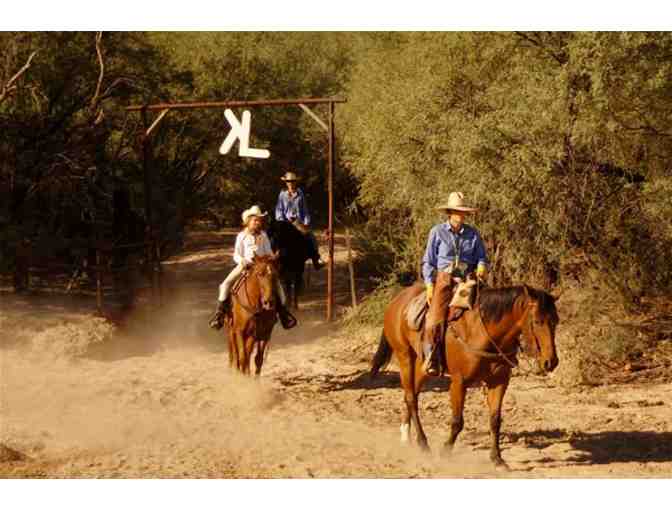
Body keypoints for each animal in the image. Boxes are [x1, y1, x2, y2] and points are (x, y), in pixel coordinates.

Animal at [370, 282, 560, 470]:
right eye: (537, 321)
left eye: (556, 321)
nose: (551, 362)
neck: (482, 333)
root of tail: (397, 300)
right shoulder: (459, 382)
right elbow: (457, 421)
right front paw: (445, 451)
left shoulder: (499, 382)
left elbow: (495, 421)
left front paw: (497, 459)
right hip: (405, 357)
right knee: (411, 398)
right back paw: (423, 443)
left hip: (422, 365)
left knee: (411, 395)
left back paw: (406, 435)